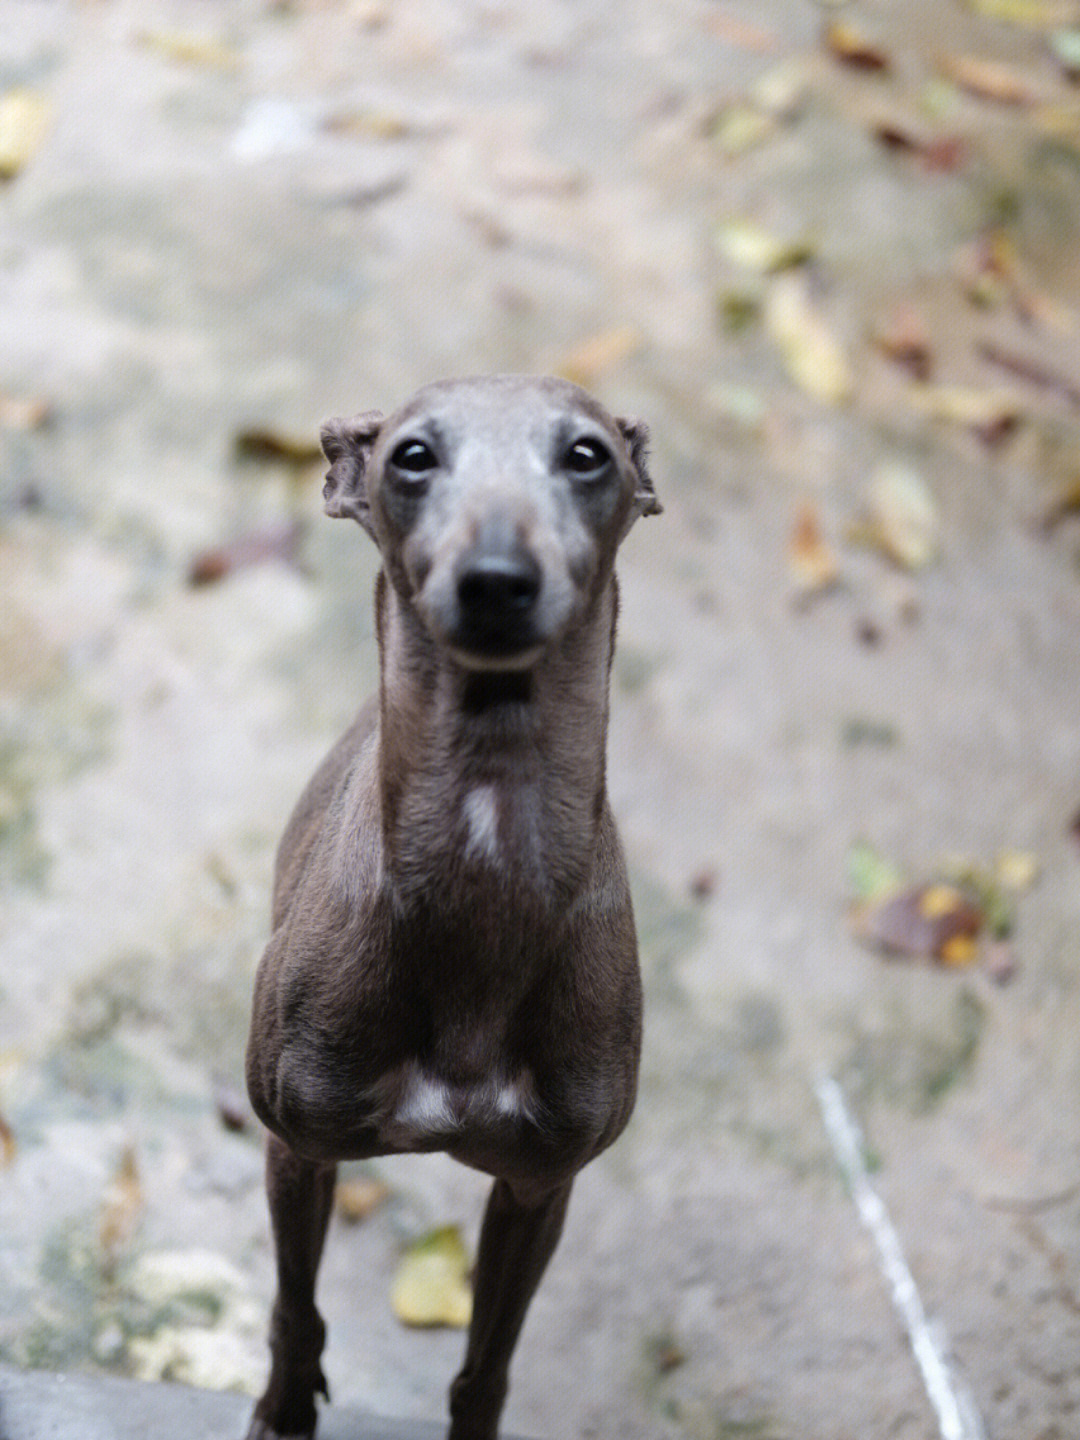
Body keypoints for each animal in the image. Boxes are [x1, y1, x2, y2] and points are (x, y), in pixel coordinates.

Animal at [247, 374, 659, 1440]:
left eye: (588, 454)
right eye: (413, 455)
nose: (496, 580)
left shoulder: (539, 1184)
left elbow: (487, 1366)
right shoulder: (296, 1145)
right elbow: (295, 1308)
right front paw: (281, 1408)